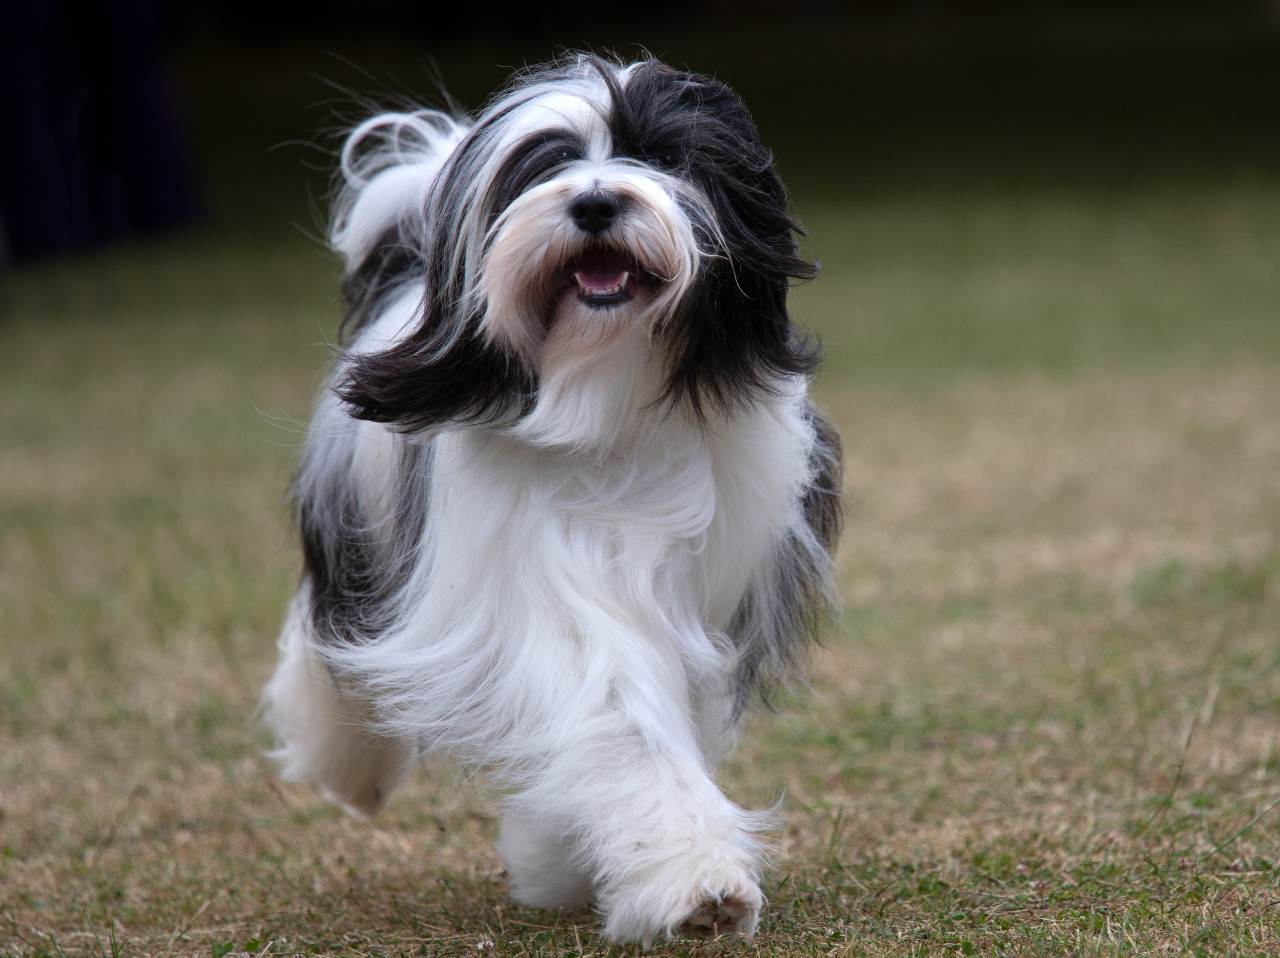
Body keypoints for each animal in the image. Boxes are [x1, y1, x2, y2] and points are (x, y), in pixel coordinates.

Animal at [262, 52, 839, 942]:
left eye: (661, 155)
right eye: (546, 167)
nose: (596, 201)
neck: (605, 400)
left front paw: (602, 865)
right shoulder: (537, 581)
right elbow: (619, 713)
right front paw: (695, 880)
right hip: (355, 534)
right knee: (329, 642)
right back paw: (347, 762)